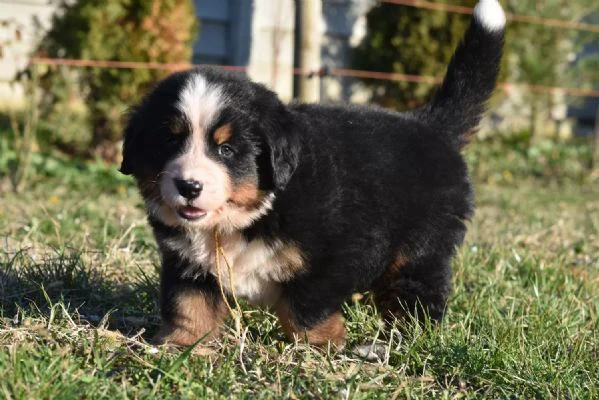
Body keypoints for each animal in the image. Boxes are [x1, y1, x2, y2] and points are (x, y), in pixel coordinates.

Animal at [120, 0, 506, 346]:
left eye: (226, 149)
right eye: (170, 141)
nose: (189, 185)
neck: (249, 216)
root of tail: (430, 125)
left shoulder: (329, 257)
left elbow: (305, 308)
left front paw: (319, 347)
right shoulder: (186, 260)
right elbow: (189, 304)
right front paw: (179, 345)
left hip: (422, 248)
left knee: (419, 294)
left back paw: (400, 339)